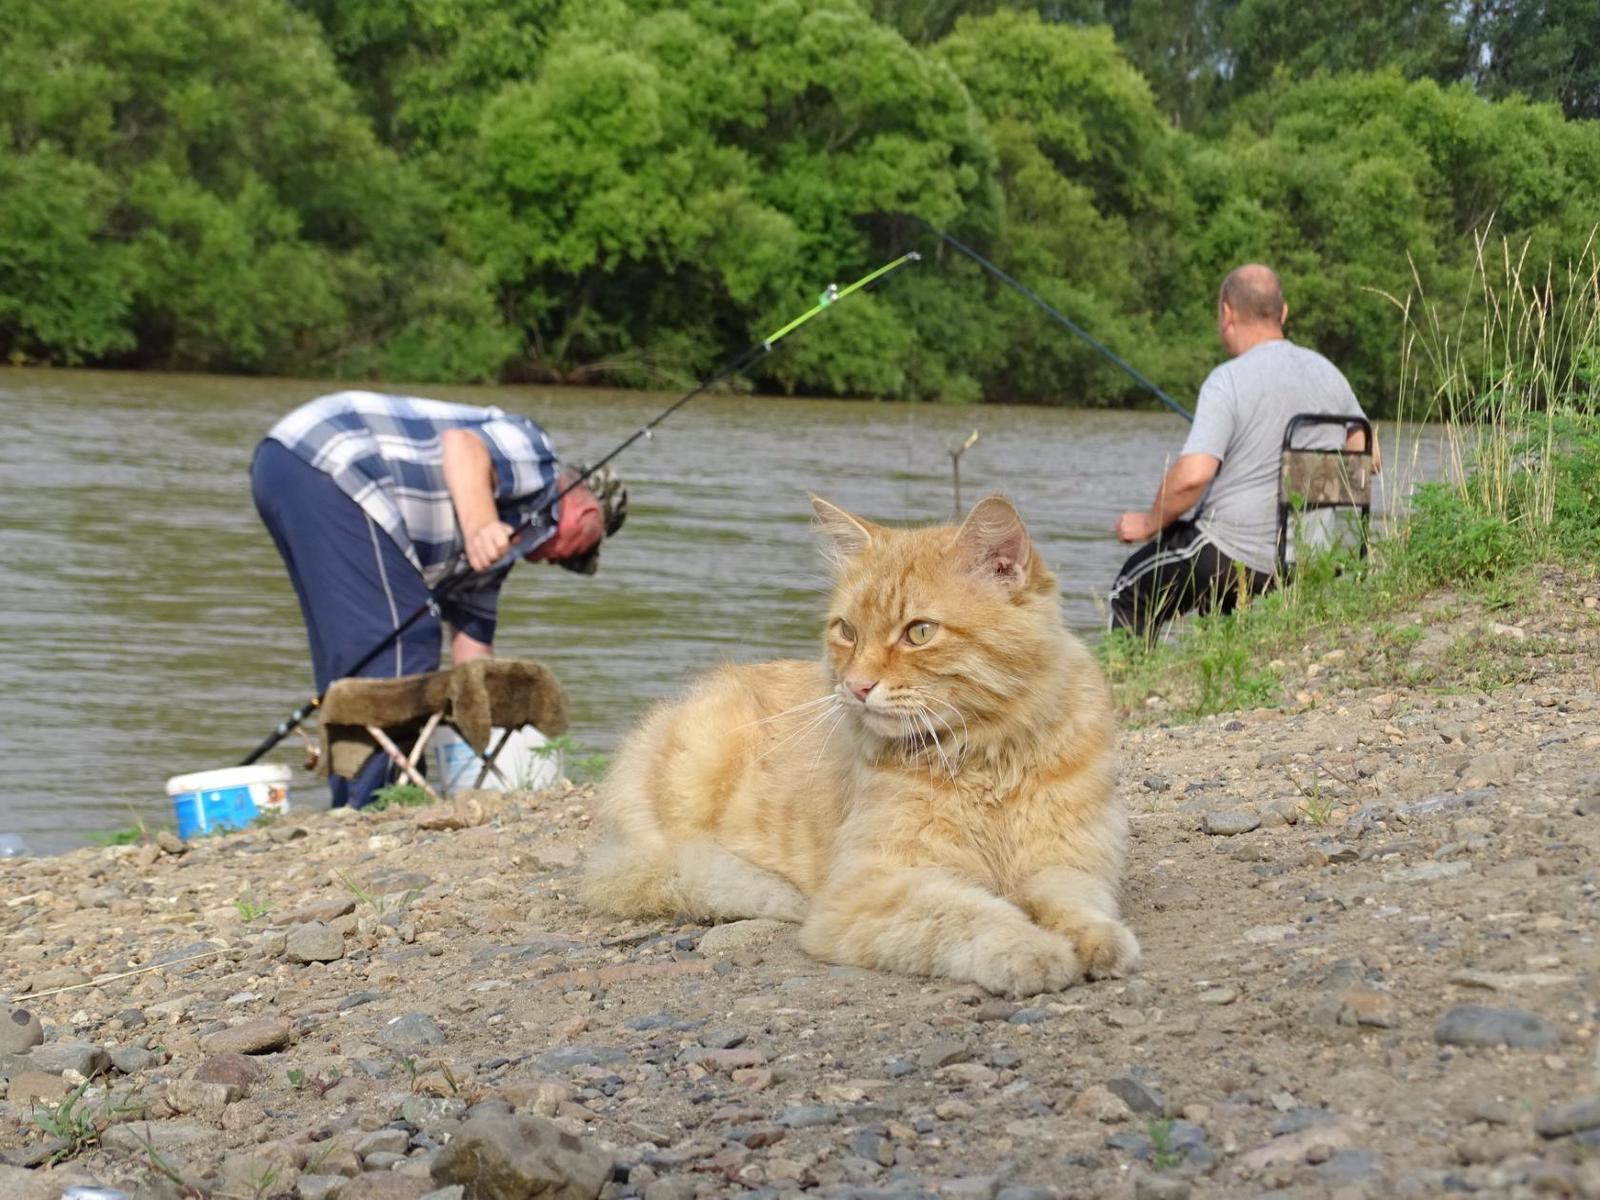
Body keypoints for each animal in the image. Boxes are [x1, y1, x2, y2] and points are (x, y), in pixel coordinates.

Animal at [585, 492, 1139, 998]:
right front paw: (1032, 950)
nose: (855, 687)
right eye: (847, 631)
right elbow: (973, 917)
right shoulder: (874, 890)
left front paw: (1100, 941)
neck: (985, 757)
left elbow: (1076, 904)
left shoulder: (1066, 861)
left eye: (919, 632)